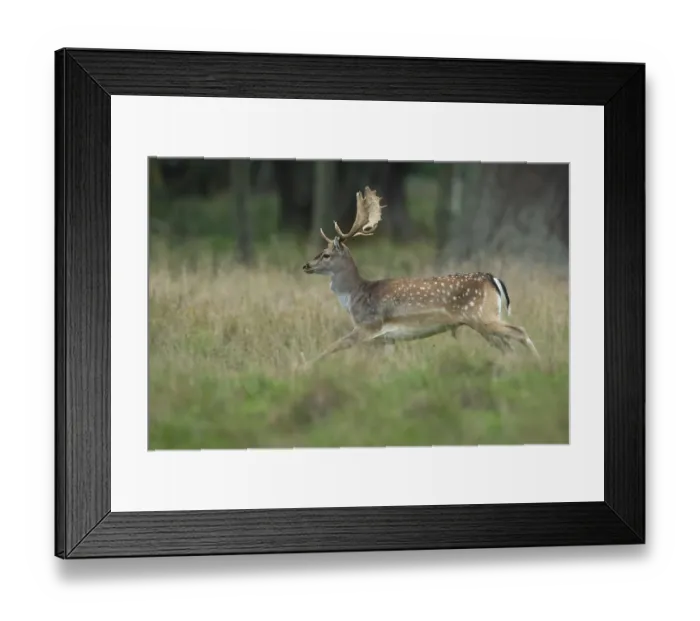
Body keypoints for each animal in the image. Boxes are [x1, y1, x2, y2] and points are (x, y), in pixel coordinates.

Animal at [301, 186, 540, 365]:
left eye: (326, 254)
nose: (306, 265)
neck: (355, 296)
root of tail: (493, 279)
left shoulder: (369, 325)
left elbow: (331, 348)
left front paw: (307, 366)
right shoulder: (388, 339)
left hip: (482, 316)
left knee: (519, 331)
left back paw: (538, 363)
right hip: (483, 321)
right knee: (507, 347)